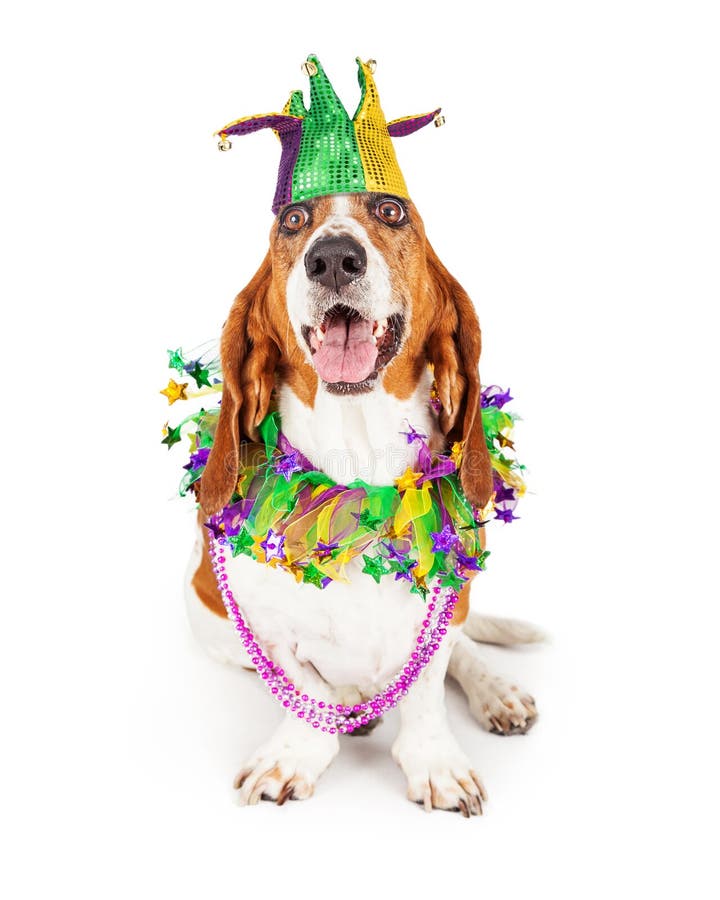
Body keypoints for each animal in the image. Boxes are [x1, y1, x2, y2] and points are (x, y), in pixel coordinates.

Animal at [186, 190, 540, 816]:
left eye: (391, 212)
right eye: (294, 220)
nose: (332, 258)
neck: (357, 476)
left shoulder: (446, 602)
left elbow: (427, 685)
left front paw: (435, 764)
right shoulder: (265, 625)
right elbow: (304, 689)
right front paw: (296, 754)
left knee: (465, 647)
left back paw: (496, 692)